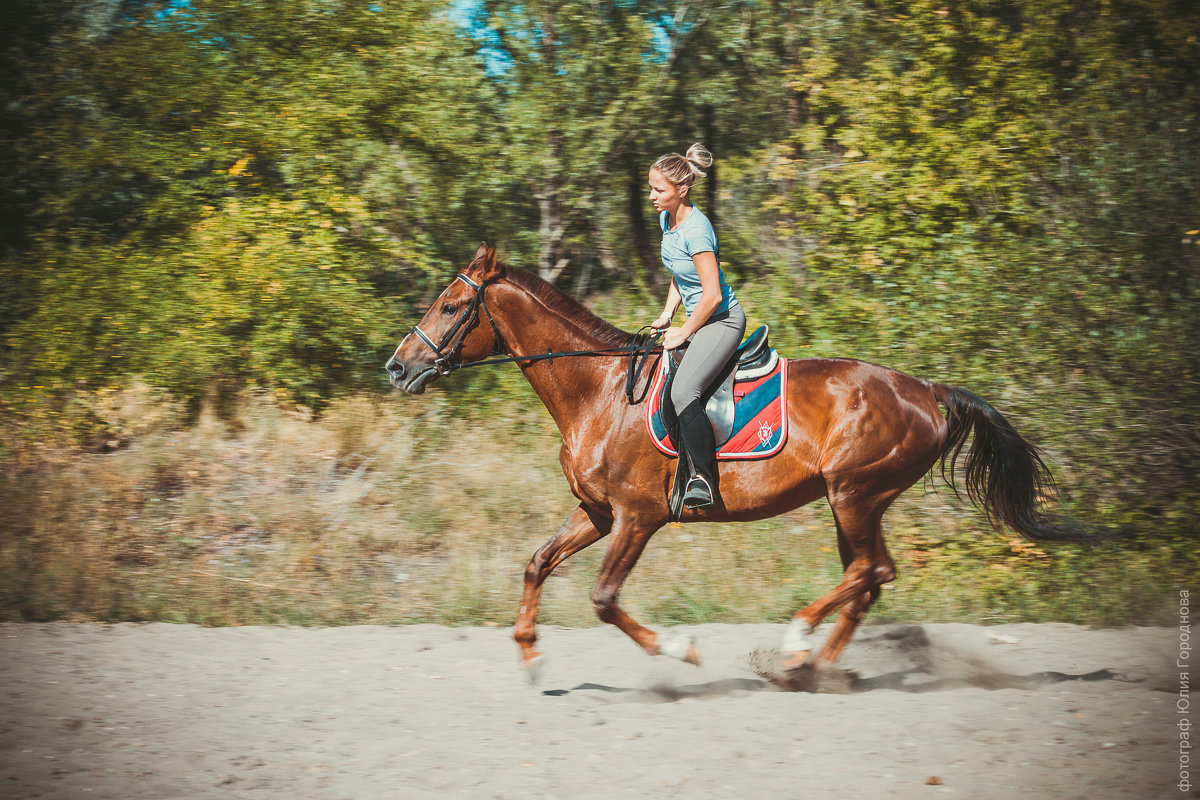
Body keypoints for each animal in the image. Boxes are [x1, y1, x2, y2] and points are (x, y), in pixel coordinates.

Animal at [381, 242, 1060, 681]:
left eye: (449, 307)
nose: (397, 367)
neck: (599, 392)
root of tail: (926, 390)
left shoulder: (638, 517)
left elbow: (602, 597)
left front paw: (679, 650)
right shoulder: (597, 513)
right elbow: (536, 563)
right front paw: (530, 653)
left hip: (856, 494)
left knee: (871, 571)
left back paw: (796, 644)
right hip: (853, 501)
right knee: (869, 577)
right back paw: (816, 667)